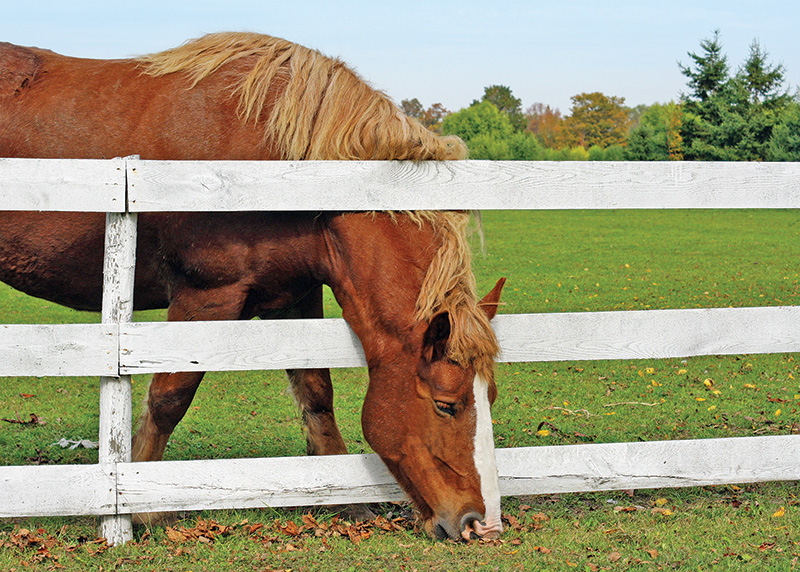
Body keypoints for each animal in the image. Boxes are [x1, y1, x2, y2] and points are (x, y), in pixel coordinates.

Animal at [0, 32, 505, 541]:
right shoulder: (205, 298)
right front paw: (143, 510)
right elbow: (168, 400)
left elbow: (316, 393)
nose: (480, 523)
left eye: (490, 398)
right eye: (447, 405)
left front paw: (348, 503)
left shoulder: (294, 297)